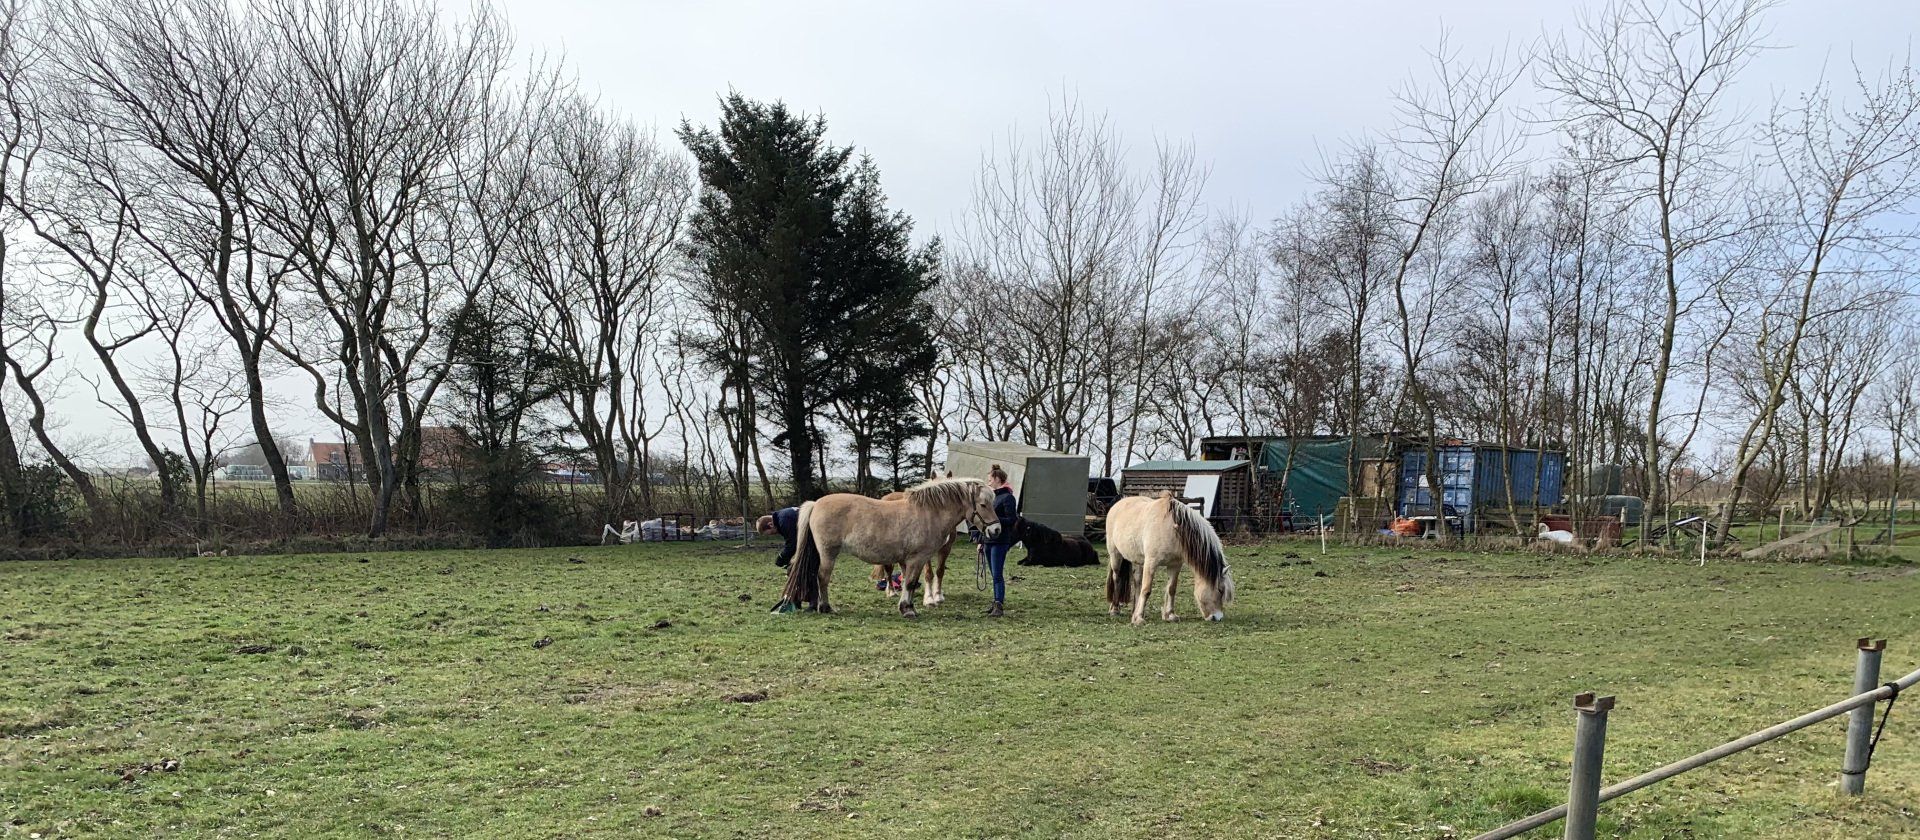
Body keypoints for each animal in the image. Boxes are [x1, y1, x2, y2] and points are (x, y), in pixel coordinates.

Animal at [1105, 490, 1236, 625]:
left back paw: (1134, 611)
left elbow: (1171, 589)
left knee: (1137, 582)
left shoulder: (1175, 565)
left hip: (1138, 560)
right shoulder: (1151, 563)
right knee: (1117, 578)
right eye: (1220, 590)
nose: (1217, 617)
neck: (1172, 528)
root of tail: (1120, 502)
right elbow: (1146, 590)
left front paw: (1169, 615)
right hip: (1115, 555)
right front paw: (1139, 618)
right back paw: (1115, 609)